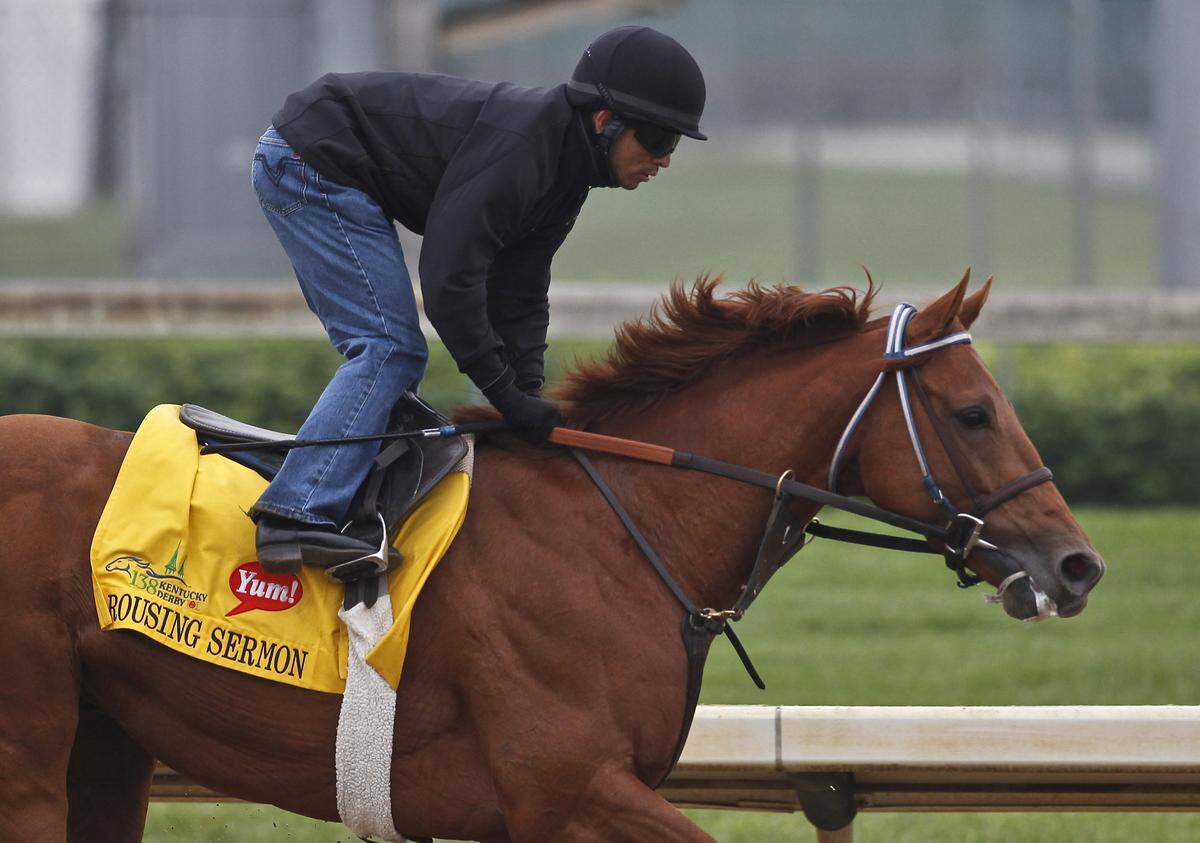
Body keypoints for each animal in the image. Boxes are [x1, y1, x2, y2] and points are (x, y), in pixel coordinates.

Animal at [0, 273, 1104, 842]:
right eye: (974, 412)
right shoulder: (568, 788)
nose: (1077, 565)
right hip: (33, 748)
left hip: (109, 742)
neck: (621, 534)